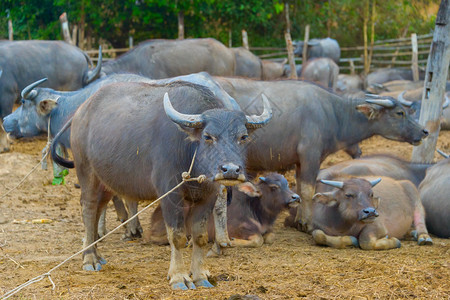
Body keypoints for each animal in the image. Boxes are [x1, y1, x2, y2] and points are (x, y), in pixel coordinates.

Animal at [51, 81, 272, 290]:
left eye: (243, 137)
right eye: (208, 136)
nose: (231, 170)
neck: (189, 152)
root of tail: (81, 112)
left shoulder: (207, 197)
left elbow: (200, 236)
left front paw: (200, 276)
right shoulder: (170, 195)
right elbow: (177, 237)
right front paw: (179, 277)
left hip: (106, 181)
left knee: (98, 208)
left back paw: (97, 255)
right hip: (86, 172)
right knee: (88, 209)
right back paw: (89, 258)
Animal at [214, 77, 428, 232]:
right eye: (400, 113)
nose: (424, 131)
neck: (333, 114)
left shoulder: (300, 162)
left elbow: (300, 188)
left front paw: (299, 219)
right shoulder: (310, 156)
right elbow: (308, 190)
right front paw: (306, 224)